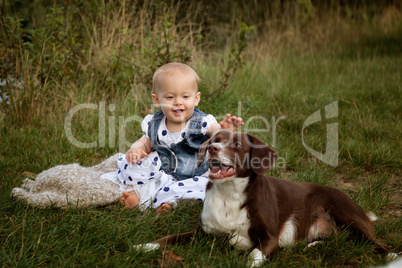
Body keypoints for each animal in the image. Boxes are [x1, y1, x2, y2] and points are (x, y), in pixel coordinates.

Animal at [135, 130, 390, 266]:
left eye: (237, 144)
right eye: (215, 139)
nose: (212, 148)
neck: (229, 194)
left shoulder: (270, 238)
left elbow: (254, 255)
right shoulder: (202, 232)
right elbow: (169, 238)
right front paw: (145, 245)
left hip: (346, 213)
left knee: (376, 242)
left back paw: (391, 256)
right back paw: (315, 245)